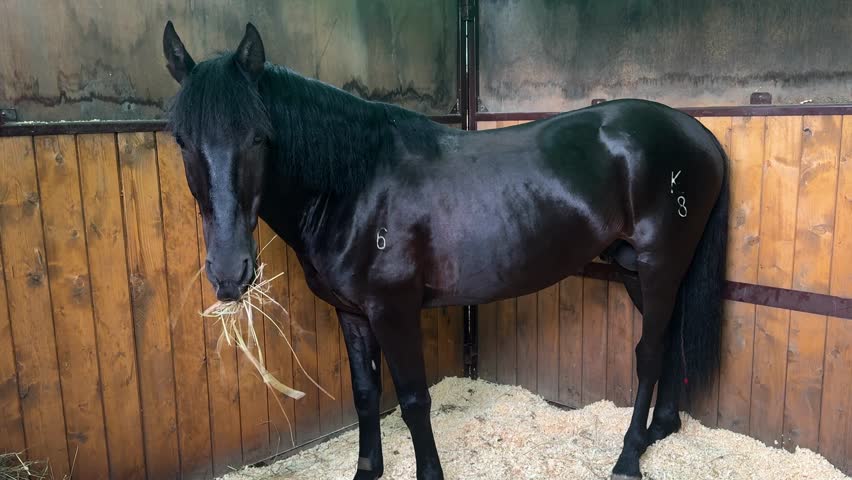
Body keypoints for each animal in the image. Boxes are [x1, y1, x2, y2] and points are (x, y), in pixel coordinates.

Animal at [162, 21, 728, 480]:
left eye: (259, 137)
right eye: (182, 141)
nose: (229, 273)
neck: (357, 184)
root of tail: (698, 132)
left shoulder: (393, 310)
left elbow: (413, 400)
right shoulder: (353, 313)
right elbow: (366, 396)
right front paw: (367, 470)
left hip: (658, 264)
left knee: (649, 353)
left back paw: (629, 456)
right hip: (637, 268)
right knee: (669, 335)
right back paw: (660, 429)